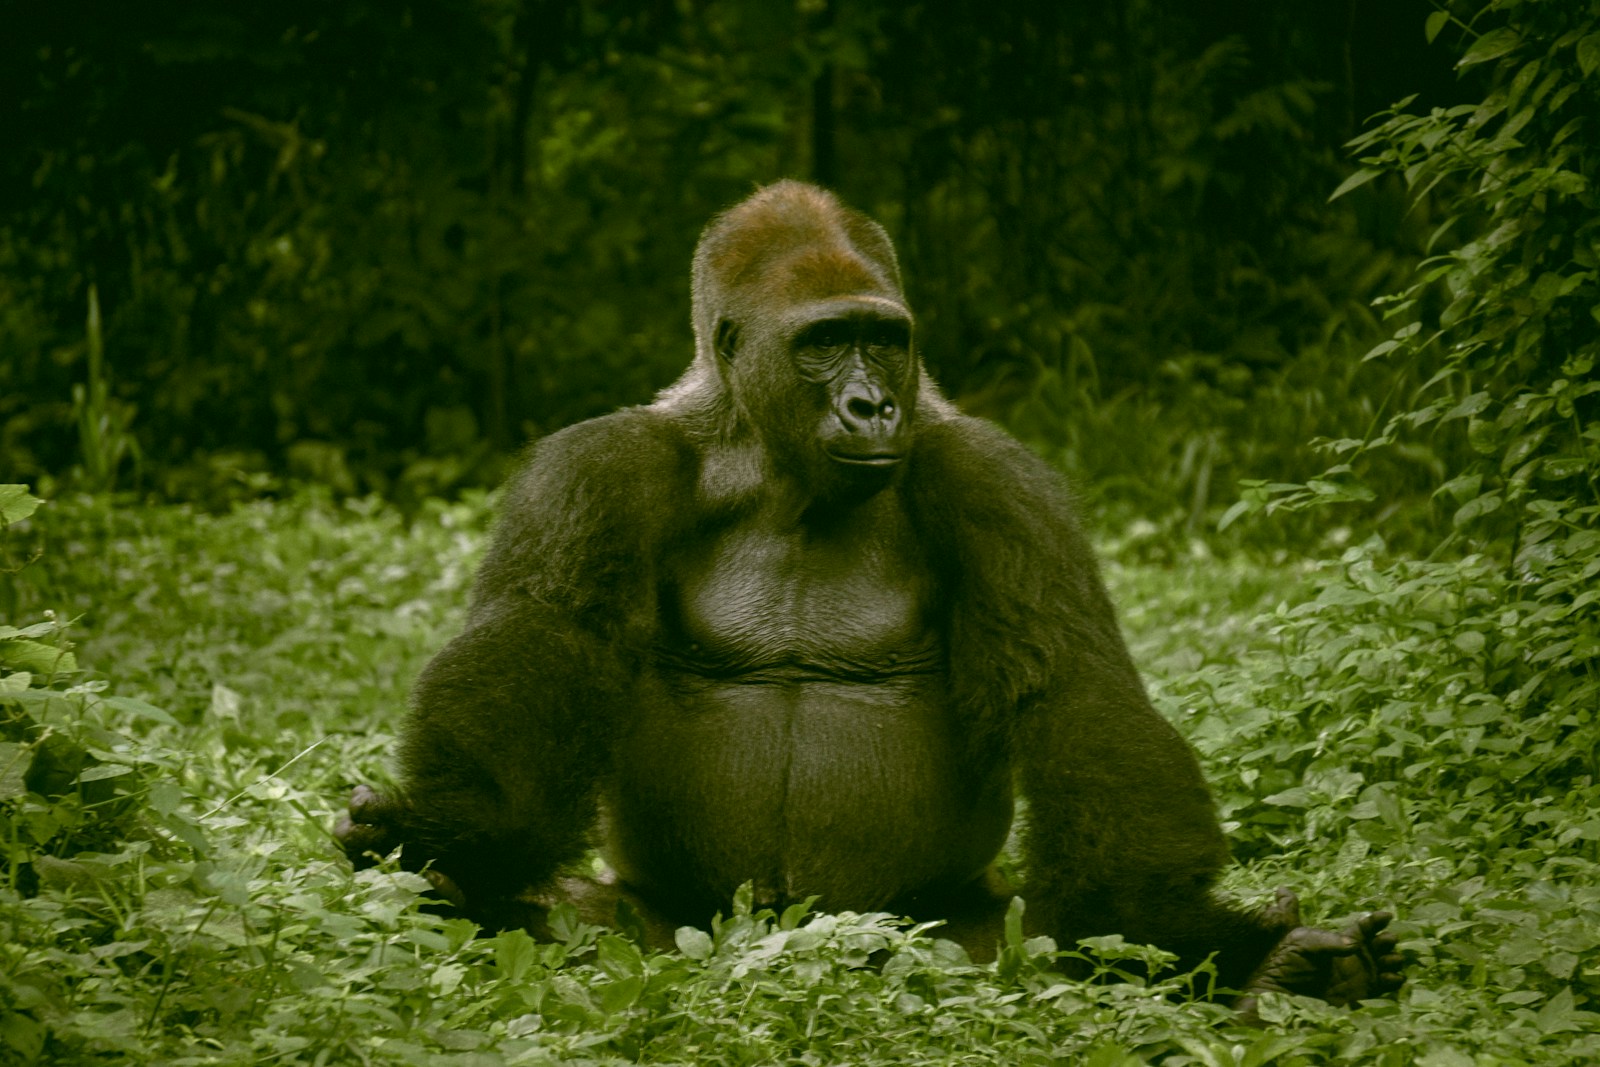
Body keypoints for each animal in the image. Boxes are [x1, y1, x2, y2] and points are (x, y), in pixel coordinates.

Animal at [337, 179, 1401, 1004]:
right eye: (824, 341)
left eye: (884, 340)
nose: (871, 404)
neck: (770, 453)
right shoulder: (595, 471)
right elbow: (545, 639)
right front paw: (457, 842)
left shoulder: (999, 483)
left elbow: (1071, 684)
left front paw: (1168, 923)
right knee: (585, 927)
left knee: (1028, 948)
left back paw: (1280, 970)